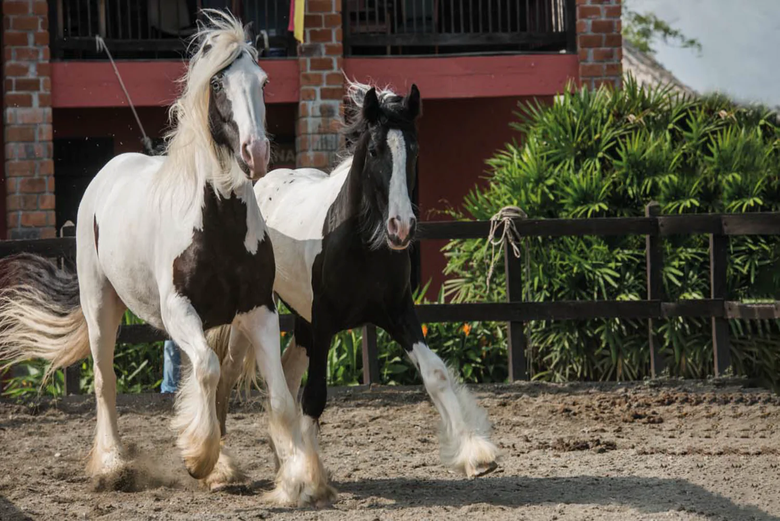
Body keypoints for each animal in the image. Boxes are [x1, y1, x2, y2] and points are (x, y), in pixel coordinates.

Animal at [0, 11, 327, 506]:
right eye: (218, 84)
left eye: (264, 81)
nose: (255, 153)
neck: (217, 223)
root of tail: (106, 174)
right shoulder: (177, 310)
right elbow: (207, 371)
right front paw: (199, 460)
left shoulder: (259, 310)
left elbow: (278, 397)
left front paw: (295, 480)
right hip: (101, 306)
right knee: (105, 381)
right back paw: (113, 465)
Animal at [211, 81, 500, 498]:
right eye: (376, 150)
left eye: (415, 149)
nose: (401, 228)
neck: (360, 244)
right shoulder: (326, 322)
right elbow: (315, 395)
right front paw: (310, 479)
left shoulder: (398, 313)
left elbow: (435, 373)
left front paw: (476, 454)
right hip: (254, 317)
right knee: (229, 375)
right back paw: (222, 469)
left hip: (301, 321)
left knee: (285, 375)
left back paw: (284, 459)